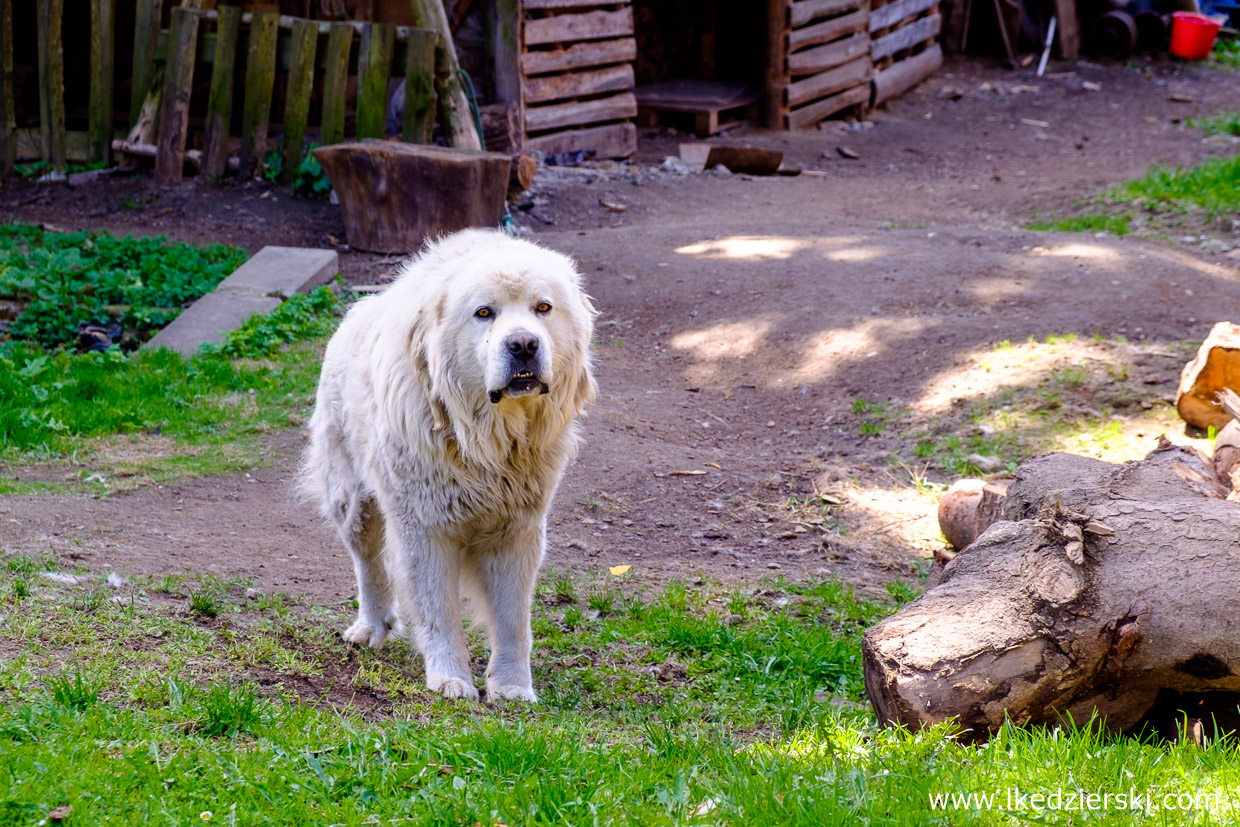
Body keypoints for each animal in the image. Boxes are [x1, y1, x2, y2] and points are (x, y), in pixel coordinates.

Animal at [303, 229, 595, 704]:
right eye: (484, 313)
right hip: (353, 497)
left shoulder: (517, 530)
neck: (488, 440)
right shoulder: (424, 528)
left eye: (543, 308)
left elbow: (513, 620)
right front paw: (450, 679)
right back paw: (371, 626)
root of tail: (360, 310)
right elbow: (438, 612)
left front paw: (512, 686)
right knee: (368, 562)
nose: (524, 344)